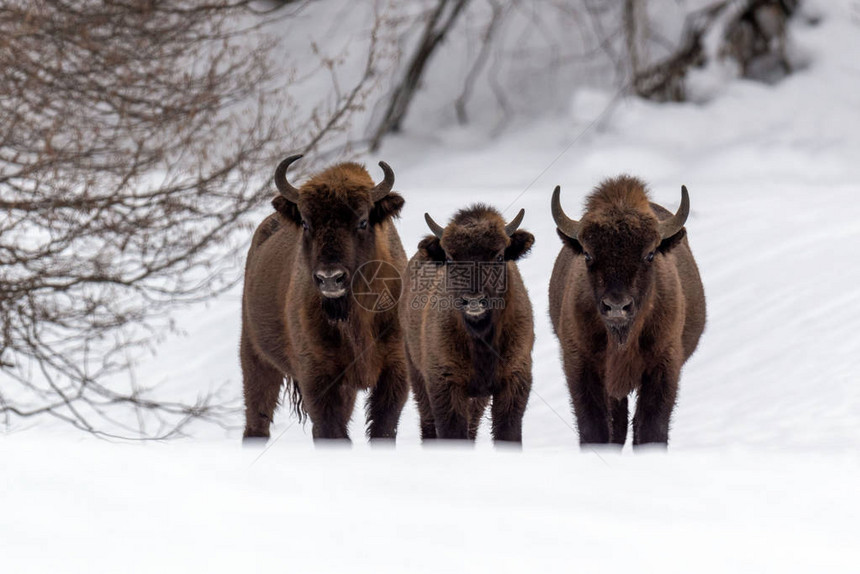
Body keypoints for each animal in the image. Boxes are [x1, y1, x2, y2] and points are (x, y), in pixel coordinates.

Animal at [400, 205, 536, 444]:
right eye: (450, 258)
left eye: (499, 256)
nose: (473, 300)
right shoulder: (445, 386)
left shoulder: (513, 382)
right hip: (417, 376)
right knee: (428, 424)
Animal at [552, 177, 704, 450]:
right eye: (588, 254)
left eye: (650, 254)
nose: (616, 306)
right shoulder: (580, 364)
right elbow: (595, 428)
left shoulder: (664, 365)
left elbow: (651, 428)